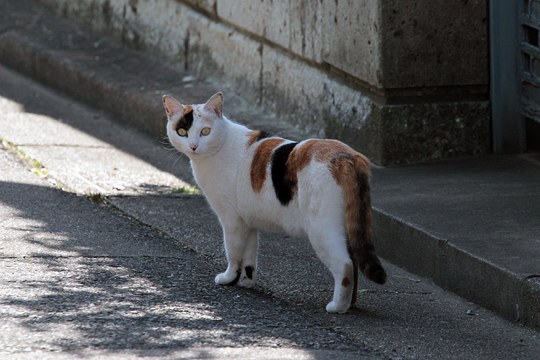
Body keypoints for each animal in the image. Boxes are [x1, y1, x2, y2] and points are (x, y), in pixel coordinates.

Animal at [162, 92, 386, 312]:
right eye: (182, 131)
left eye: (206, 131)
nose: (193, 146)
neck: (219, 147)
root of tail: (348, 157)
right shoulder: (247, 221)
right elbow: (249, 255)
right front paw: (246, 281)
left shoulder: (231, 219)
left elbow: (233, 252)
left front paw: (228, 278)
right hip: (347, 228)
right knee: (354, 261)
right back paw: (351, 303)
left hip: (322, 229)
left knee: (345, 264)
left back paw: (338, 306)